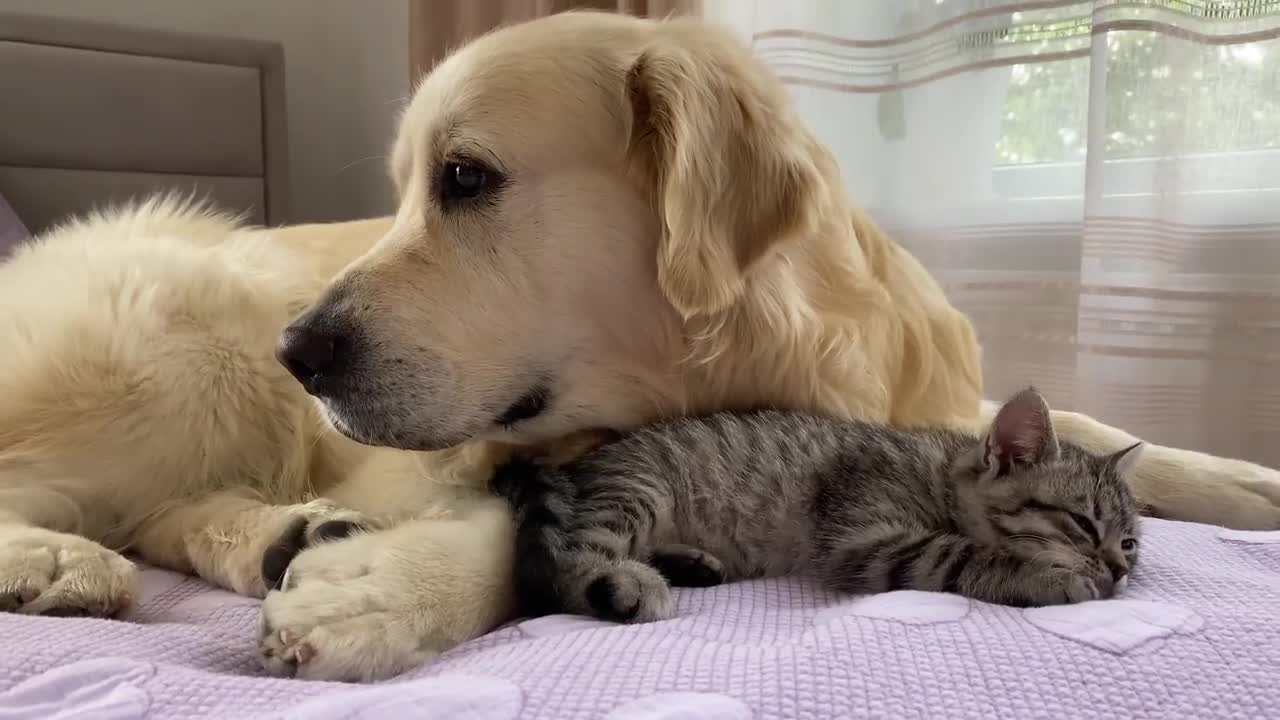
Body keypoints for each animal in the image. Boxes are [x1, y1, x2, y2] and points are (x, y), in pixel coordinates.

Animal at [494, 389, 1146, 620]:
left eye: (1130, 543)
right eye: (1082, 524)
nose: (1119, 570)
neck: (939, 473)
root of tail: (579, 464)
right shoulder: (865, 538)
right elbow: (958, 553)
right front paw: (1048, 575)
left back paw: (690, 565)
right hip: (639, 489)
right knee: (566, 566)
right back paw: (627, 585)